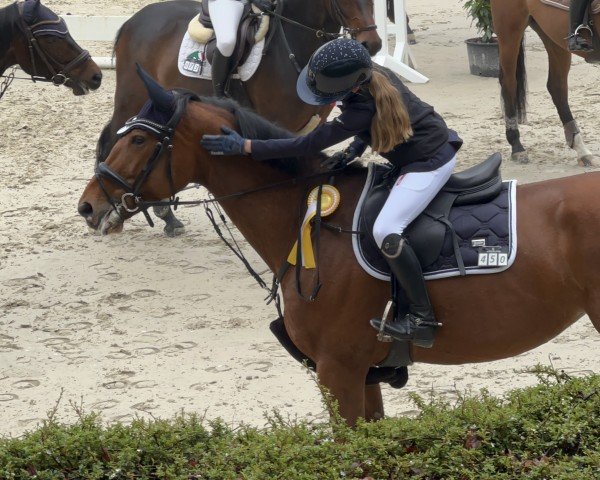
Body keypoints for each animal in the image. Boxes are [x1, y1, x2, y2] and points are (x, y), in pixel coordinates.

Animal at [96, 0, 382, 234]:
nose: (372, 44)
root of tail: (133, 21)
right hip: (131, 98)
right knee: (113, 138)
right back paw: (112, 212)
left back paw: (164, 216)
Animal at [492, 0, 600, 166]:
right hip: (509, 30)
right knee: (509, 83)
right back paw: (517, 147)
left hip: (552, 35)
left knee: (557, 87)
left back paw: (581, 149)